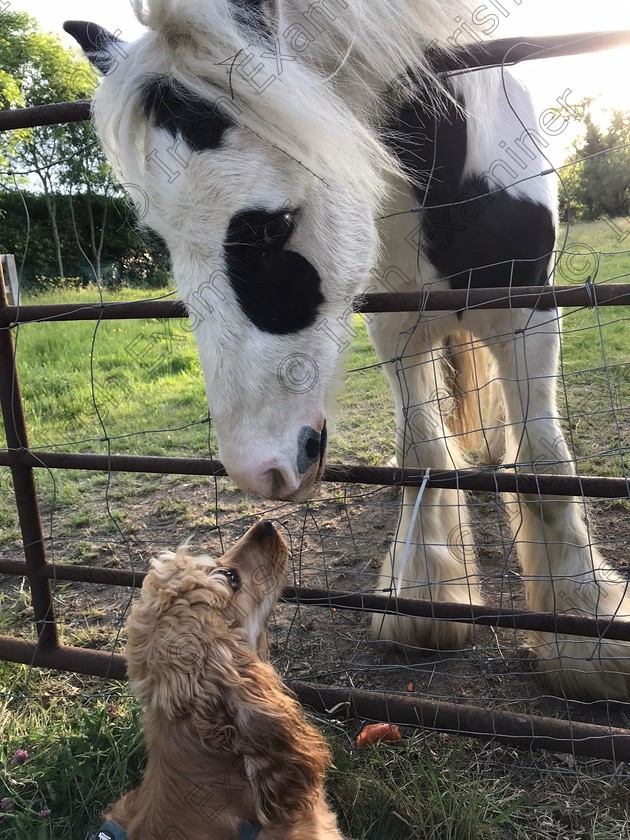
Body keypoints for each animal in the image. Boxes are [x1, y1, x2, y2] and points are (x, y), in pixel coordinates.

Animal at [65, 0, 630, 700]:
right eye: (162, 239)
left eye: (269, 227)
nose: (260, 469)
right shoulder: (397, 329)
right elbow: (422, 453)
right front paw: (425, 598)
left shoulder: (529, 313)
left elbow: (544, 462)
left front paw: (586, 627)